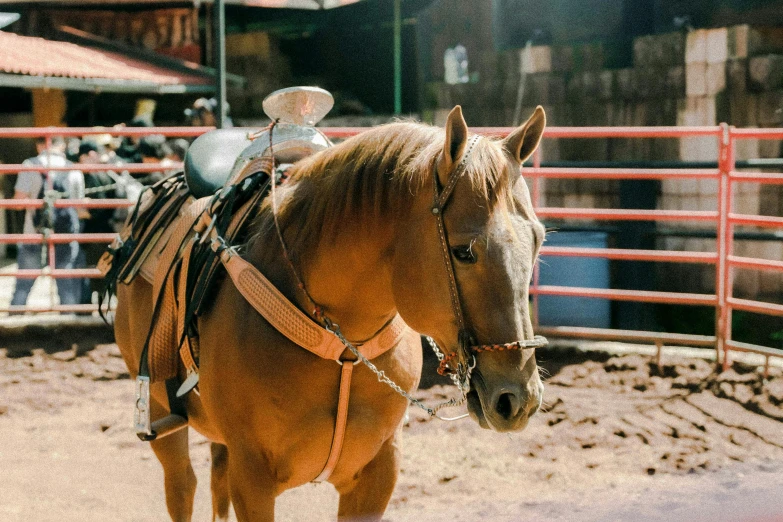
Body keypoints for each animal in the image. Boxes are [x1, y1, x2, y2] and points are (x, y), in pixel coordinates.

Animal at [113, 105, 548, 520]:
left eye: (539, 240)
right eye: (463, 252)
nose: (518, 398)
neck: (343, 346)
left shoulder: (379, 473)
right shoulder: (252, 481)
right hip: (161, 412)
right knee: (182, 486)